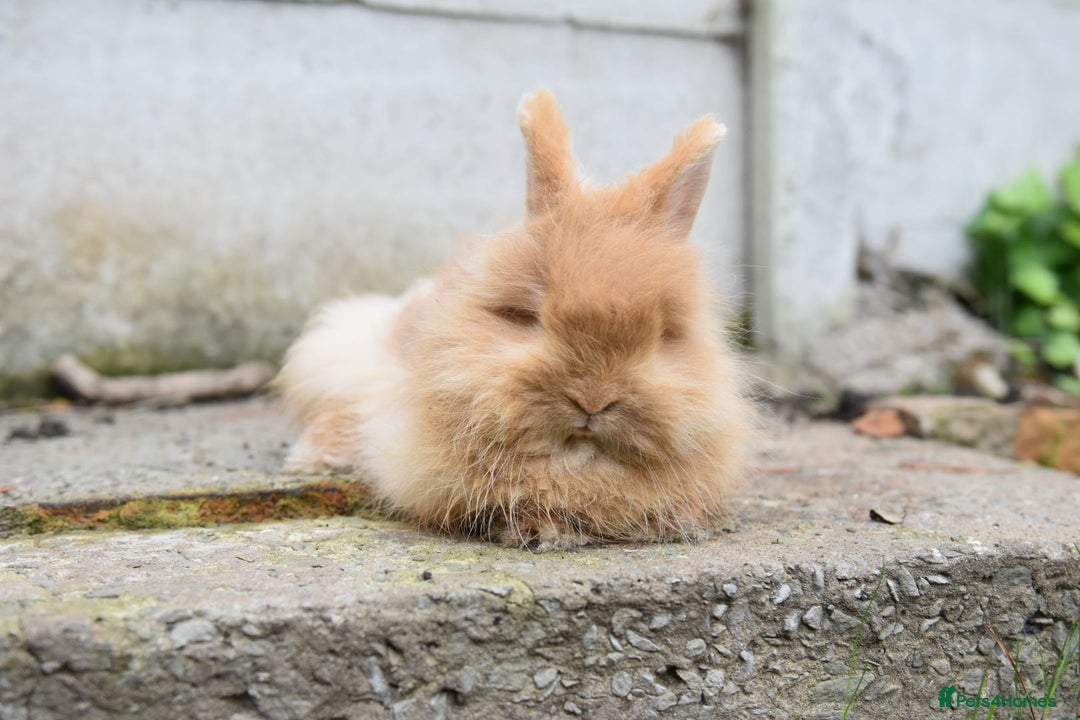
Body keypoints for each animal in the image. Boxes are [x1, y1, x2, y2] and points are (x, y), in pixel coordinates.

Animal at [278, 89, 751, 551]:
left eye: (663, 334)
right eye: (526, 315)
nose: (591, 400)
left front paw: (681, 523)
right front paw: (542, 531)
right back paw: (312, 459)